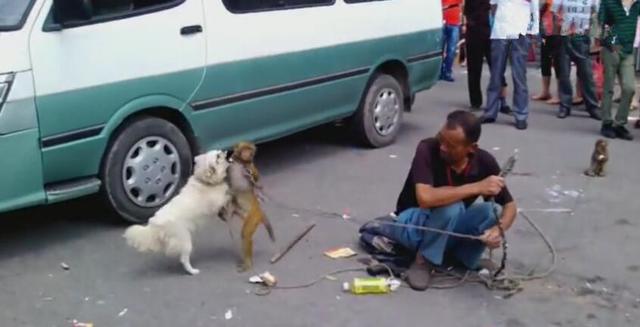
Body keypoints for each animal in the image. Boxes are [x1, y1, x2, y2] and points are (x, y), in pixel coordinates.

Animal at [222, 142, 276, 272]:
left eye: (249, 150)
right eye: (244, 149)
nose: (247, 154)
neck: (240, 163)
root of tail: (258, 209)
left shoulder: (249, 166)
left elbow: (256, 180)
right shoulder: (231, 166)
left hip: (253, 215)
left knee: (245, 235)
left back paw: (247, 263)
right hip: (244, 213)